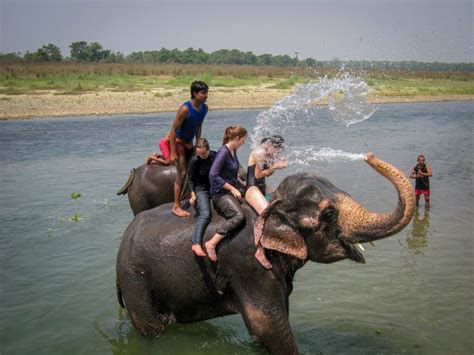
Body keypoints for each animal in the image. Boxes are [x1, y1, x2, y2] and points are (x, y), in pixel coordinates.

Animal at [115, 152, 414, 354]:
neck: (270, 204)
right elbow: (268, 326)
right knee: (151, 329)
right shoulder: (249, 264)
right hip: (136, 279)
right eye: (329, 214)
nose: (369, 155)